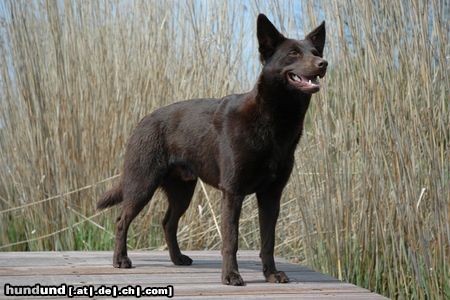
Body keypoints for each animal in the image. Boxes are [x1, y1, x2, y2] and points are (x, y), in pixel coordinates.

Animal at [97, 14, 326, 286]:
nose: (323, 64)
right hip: (142, 184)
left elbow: (268, 241)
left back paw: (178, 259)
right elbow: (231, 240)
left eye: (315, 52)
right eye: (293, 53)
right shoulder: (233, 192)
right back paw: (121, 260)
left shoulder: (271, 195)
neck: (274, 121)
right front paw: (231, 276)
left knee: (168, 223)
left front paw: (271, 273)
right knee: (122, 220)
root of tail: (143, 121)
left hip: (182, 191)